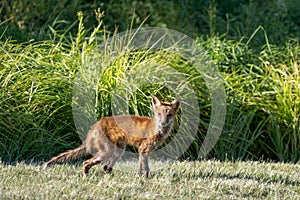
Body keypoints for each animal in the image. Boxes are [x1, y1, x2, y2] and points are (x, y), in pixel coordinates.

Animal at [45, 96, 180, 177]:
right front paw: (142, 178)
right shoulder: (143, 149)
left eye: (169, 115)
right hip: (106, 151)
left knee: (105, 166)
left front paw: (142, 177)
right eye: (159, 114)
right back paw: (86, 176)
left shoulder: (144, 150)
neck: (157, 130)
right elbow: (144, 168)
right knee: (86, 162)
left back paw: (108, 174)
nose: (163, 123)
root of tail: (96, 124)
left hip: (118, 150)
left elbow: (143, 167)